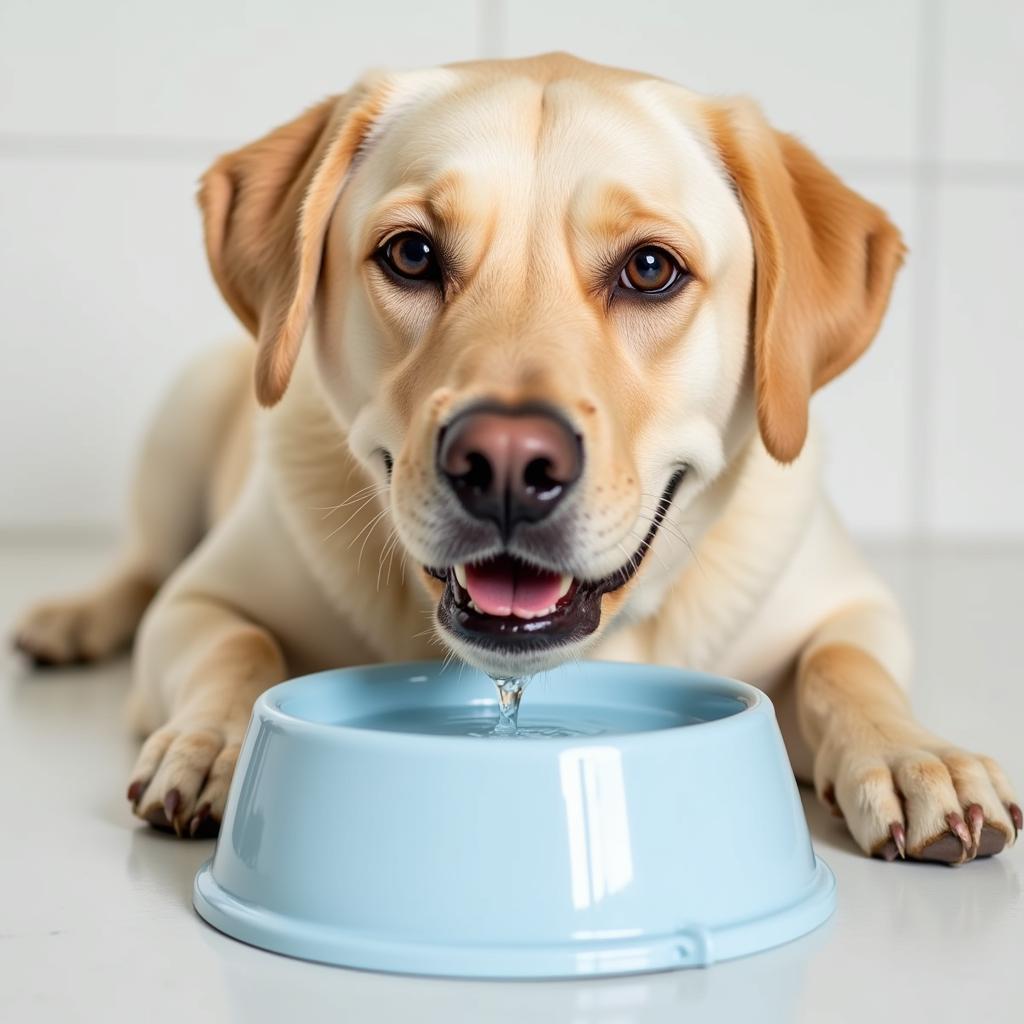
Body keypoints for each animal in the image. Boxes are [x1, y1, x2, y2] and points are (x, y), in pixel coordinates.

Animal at [12, 51, 1019, 860]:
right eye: (411, 254)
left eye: (650, 269)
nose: (503, 464)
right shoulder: (202, 601)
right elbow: (235, 644)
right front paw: (216, 743)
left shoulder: (850, 605)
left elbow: (844, 668)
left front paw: (915, 756)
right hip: (181, 420)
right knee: (139, 566)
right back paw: (69, 619)